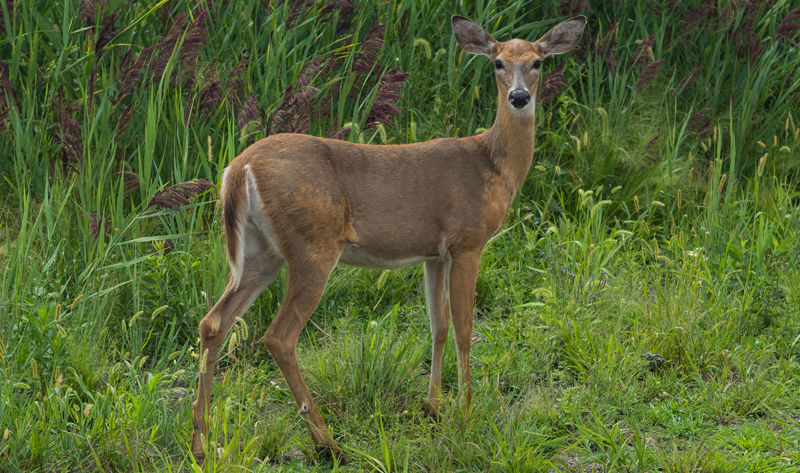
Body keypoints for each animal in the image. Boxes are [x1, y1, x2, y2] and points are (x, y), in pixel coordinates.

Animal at [190, 13, 584, 460]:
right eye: (497, 62)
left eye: (537, 62)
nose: (518, 97)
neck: (493, 163)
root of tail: (238, 169)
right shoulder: (467, 241)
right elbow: (465, 329)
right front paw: (466, 412)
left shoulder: (435, 253)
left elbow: (438, 326)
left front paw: (433, 407)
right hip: (312, 246)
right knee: (279, 336)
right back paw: (327, 442)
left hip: (259, 252)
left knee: (214, 321)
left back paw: (201, 442)